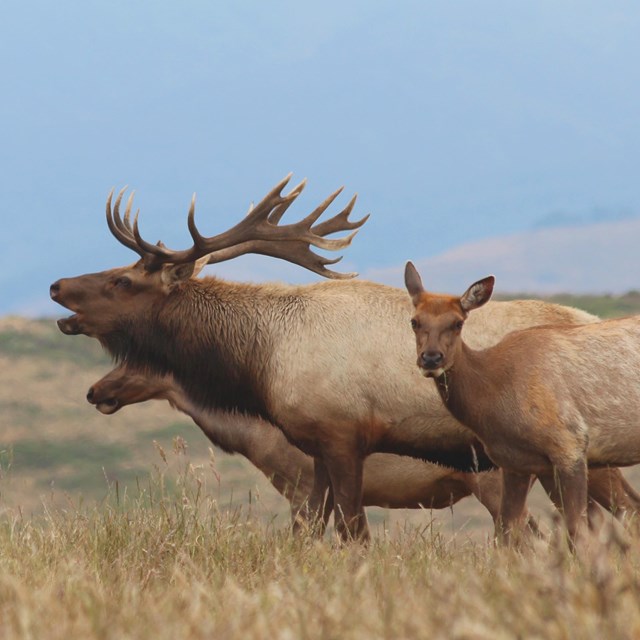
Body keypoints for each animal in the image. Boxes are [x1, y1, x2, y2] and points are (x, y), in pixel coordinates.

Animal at [408, 260, 640, 544]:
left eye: (458, 323)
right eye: (415, 321)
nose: (431, 358)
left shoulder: (570, 444)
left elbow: (577, 528)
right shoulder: (515, 463)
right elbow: (508, 530)